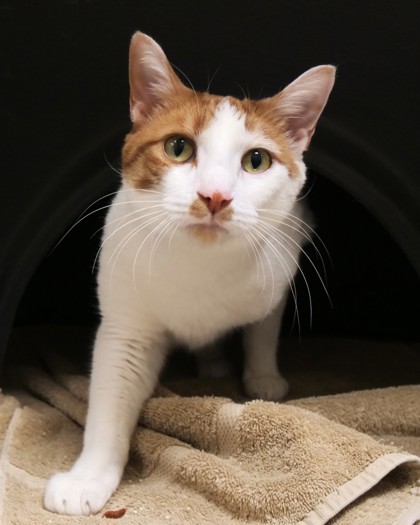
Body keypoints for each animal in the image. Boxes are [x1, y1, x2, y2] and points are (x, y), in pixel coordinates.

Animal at [44, 32, 335, 515]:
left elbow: (262, 333)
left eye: (257, 160)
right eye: (178, 148)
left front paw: (262, 376)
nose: (214, 197)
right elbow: (109, 403)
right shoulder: (126, 329)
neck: (201, 267)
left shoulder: (280, 269)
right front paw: (88, 477)